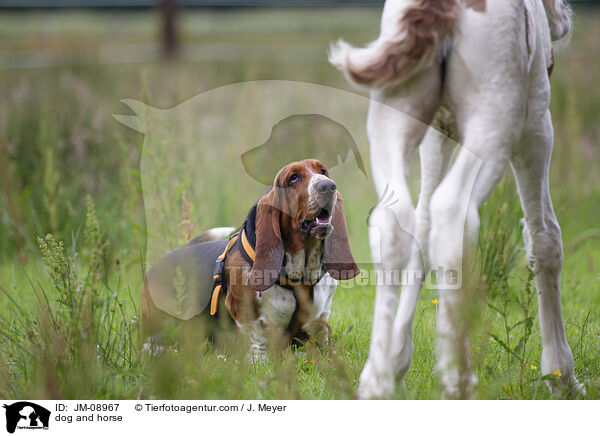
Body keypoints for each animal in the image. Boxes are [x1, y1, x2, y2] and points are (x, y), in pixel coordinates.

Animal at [141, 159, 358, 358]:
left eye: (323, 171)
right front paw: (258, 362)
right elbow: (256, 336)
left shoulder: (321, 317)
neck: (301, 273)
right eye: (293, 178)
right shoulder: (245, 310)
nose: (328, 186)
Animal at [330, 0, 584, 396]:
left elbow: (420, 227)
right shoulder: (538, 129)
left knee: (394, 219)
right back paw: (458, 379)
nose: (563, 22)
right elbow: (544, 238)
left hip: (393, 114)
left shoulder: (438, 132)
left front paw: (398, 360)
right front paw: (561, 376)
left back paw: (376, 383)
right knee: (452, 214)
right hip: (494, 122)